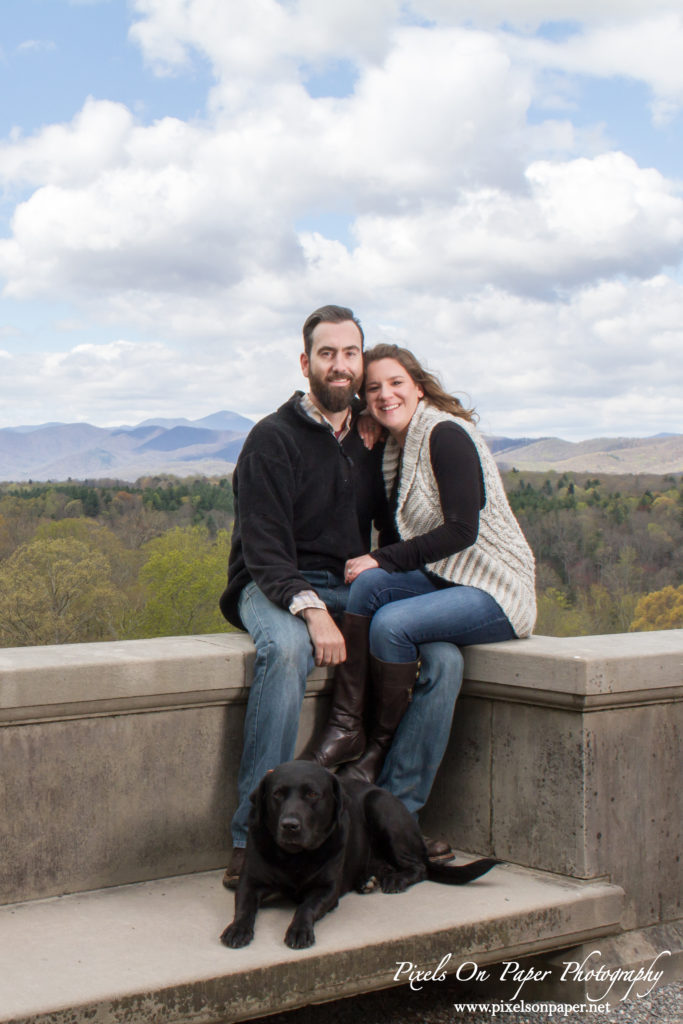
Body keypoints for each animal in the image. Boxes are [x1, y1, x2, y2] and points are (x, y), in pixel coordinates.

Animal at [222, 761, 499, 950]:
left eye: (312, 794)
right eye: (277, 794)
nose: (290, 825)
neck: (294, 857)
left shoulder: (327, 890)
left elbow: (305, 907)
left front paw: (299, 930)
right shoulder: (250, 882)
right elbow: (244, 907)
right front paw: (237, 929)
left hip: (381, 808)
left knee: (419, 867)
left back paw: (395, 880)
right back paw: (368, 879)